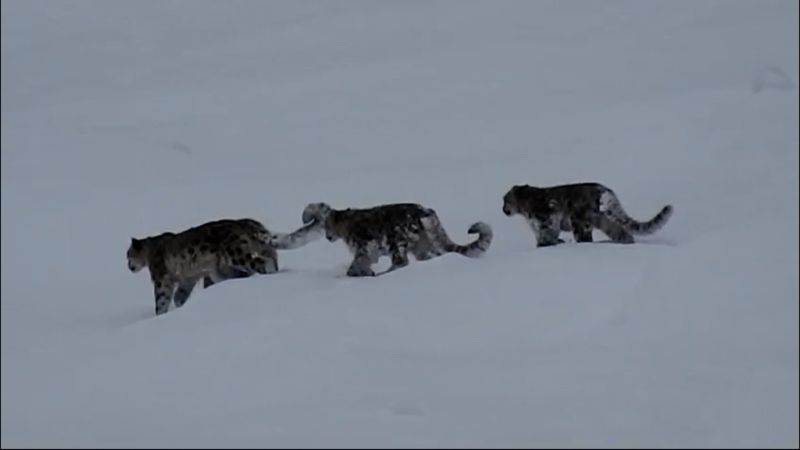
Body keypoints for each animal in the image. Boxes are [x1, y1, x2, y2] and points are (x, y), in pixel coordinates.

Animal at [298, 201, 490, 278]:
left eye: (326, 226)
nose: (328, 237)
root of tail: (426, 212)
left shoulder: (363, 247)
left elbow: (356, 264)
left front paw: (361, 273)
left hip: (396, 241)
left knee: (401, 261)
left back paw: (384, 273)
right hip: (422, 245)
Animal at [504, 182, 672, 246]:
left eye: (505, 200)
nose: (503, 209)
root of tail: (602, 188)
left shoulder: (546, 220)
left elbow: (547, 235)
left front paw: (546, 244)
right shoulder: (536, 227)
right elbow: (540, 236)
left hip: (580, 221)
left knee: (585, 237)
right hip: (602, 219)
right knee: (620, 231)